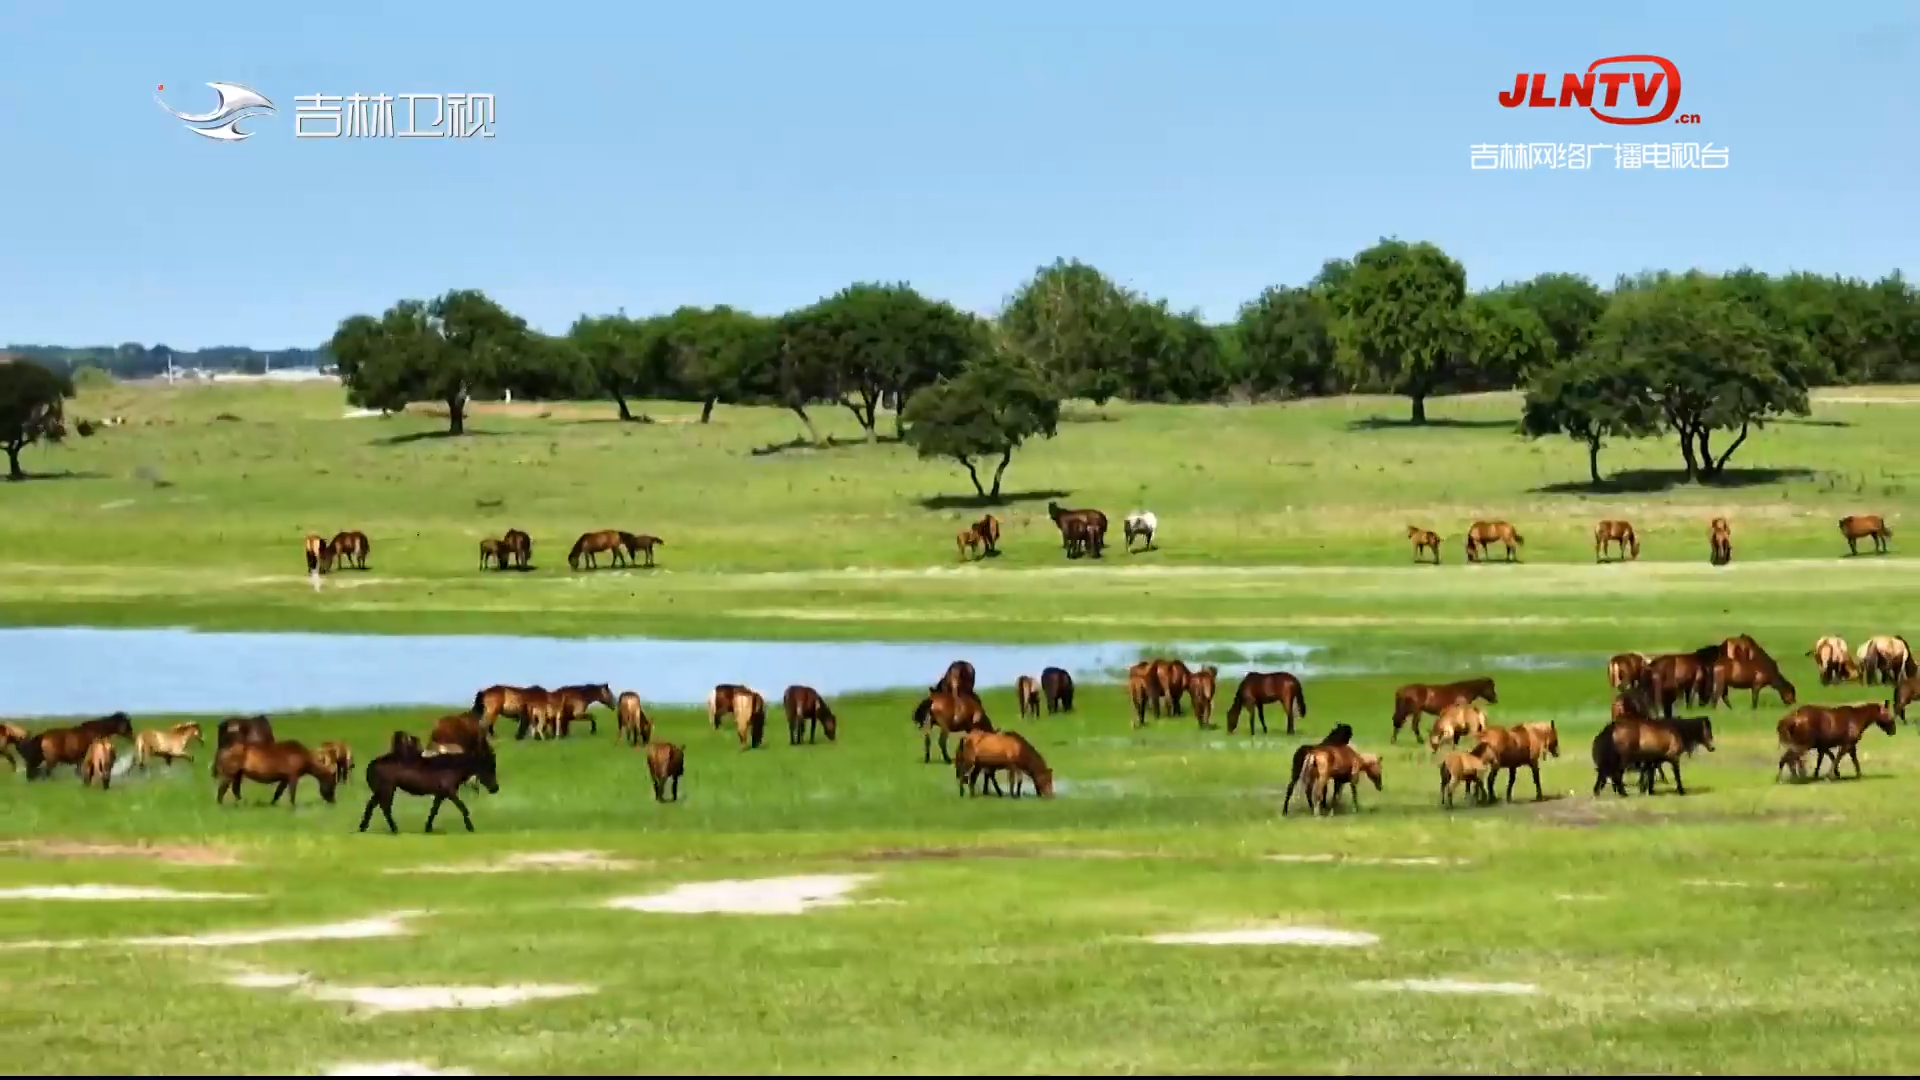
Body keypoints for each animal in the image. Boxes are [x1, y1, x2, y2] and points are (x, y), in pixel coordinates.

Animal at [357, 737, 499, 834]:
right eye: (489, 767)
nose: (495, 788)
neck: (453, 767)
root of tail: (372, 764)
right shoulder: (450, 792)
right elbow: (463, 808)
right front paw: (470, 827)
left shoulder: (440, 794)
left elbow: (434, 810)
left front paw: (428, 828)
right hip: (387, 789)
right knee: (385, 808)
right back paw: (394, 829)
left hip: (380, 790)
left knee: (371, 805)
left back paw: (363, 827)